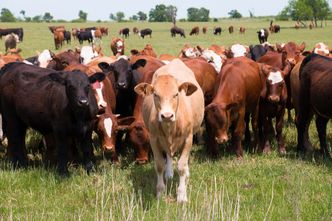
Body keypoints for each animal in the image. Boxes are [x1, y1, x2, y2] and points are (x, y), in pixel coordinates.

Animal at [135, 58, 205, 202]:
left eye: (176, 94)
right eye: (155, 94)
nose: (167, 115)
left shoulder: (188, 139)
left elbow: (182, 166)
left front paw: (182, 195)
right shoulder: (154, 139)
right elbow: (159, 165)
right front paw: (160, 192)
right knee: (168, 154)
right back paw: (169, 173)